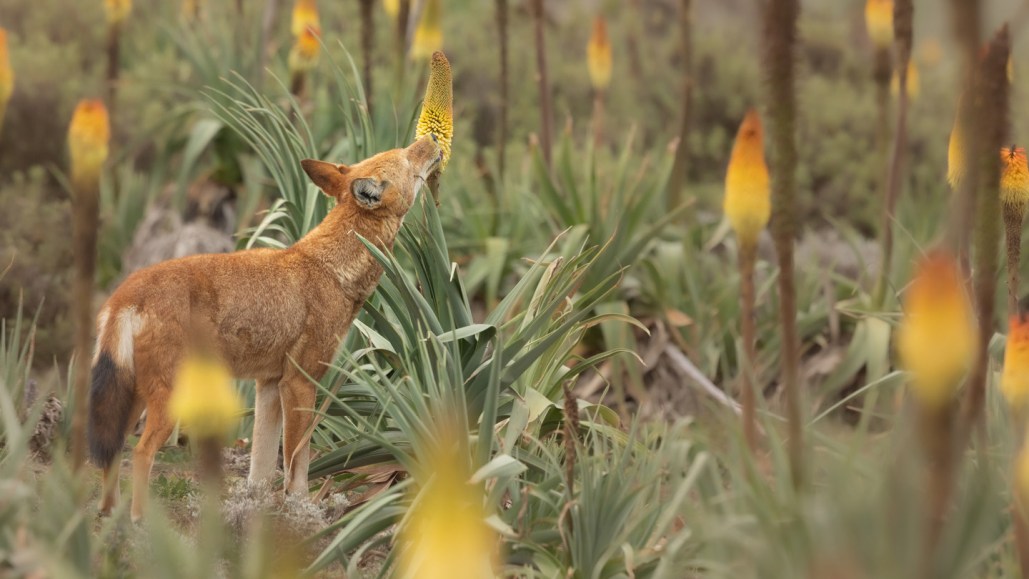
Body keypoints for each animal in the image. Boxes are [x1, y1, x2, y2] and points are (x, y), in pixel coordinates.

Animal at [88, 134, 442, 520]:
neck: (331, 271)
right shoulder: (299, 383)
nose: (431, 138)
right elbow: (297, 462)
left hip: (136, 399)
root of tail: (125, 291)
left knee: (114, 452)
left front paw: (255, 512)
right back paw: (140, 522)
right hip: (169, 401)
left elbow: (259, 469)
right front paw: (299, 510)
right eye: (407, 156)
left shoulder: (269, 385)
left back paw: (109, 517)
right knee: (141, 453)